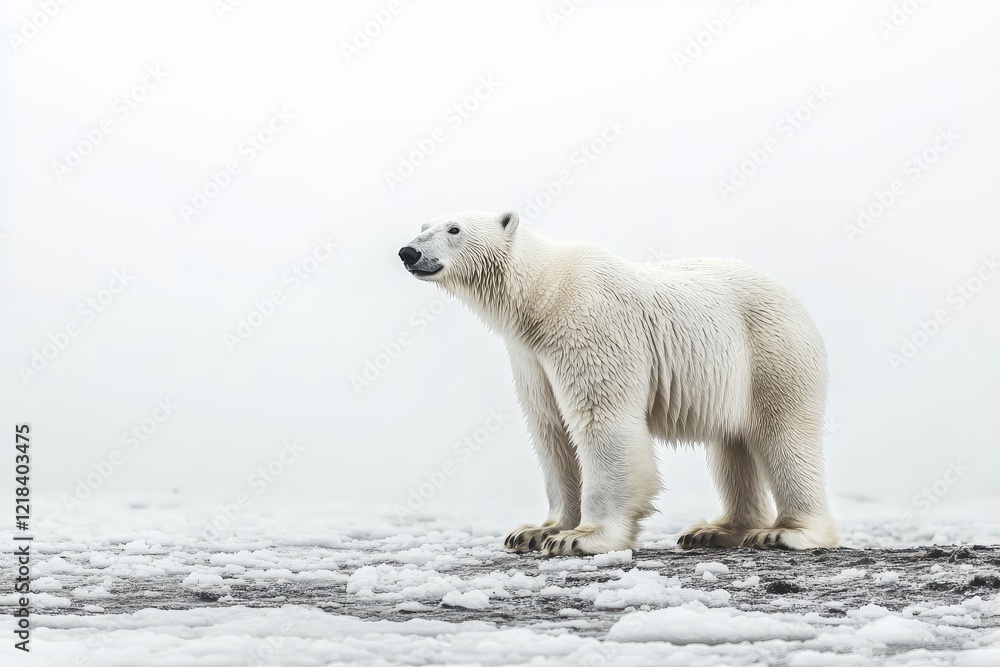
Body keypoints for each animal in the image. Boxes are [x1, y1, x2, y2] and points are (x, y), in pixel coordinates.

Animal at [398, 210, 838, 555]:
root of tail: (795, 302)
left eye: (454, 228)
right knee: (731, 445)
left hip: (769, 352)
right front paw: (536, 531)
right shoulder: (531, 358)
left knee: (783, 435)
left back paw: (786, 532)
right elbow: (551, 430)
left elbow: (600, 420)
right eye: (423, 225)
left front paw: (581, 538)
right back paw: (715, 530)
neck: (542, 297)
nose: (408, 252)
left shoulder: (590, 326)